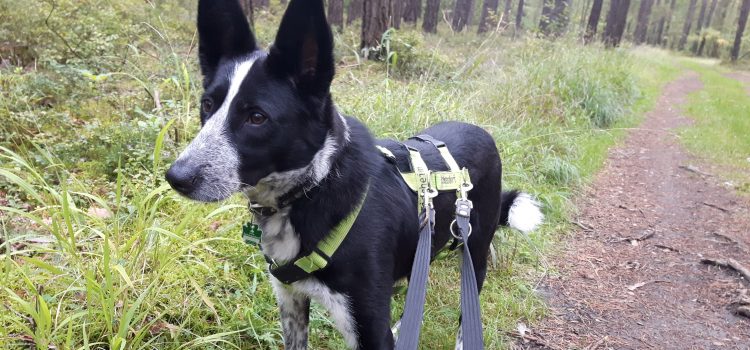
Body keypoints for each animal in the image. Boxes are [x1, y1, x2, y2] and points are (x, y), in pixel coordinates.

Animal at [164, 1, 544, 348]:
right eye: (207, 105)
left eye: (256, 117)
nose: (176, 177)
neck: (314, 187)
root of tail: (481, 132)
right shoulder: (291, 299)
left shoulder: (368, 328)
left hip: (474, 248)